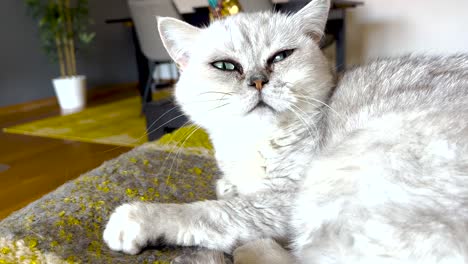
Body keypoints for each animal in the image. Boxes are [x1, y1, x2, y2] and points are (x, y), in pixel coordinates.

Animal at [103, 0, 468, 262]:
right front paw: (229, 186)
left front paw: (135, 219)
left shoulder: (280, 201)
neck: (250, 145)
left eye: (280, 57)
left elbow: (211, 212)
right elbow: (228, 189)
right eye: (225, 66)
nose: (258, 81)